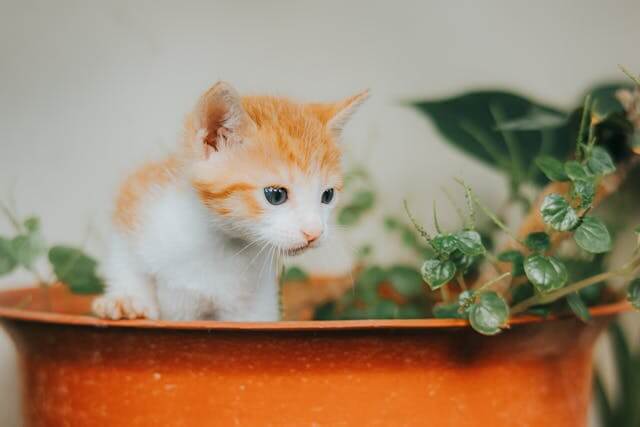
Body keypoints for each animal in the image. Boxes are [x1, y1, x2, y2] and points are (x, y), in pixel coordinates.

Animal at [92, 83, 368, 320]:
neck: (218, 246)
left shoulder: (255, 307)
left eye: (327, 195)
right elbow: (126, 261)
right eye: (276, 195)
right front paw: (127, 299)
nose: (314, 233)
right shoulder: (139, 199)